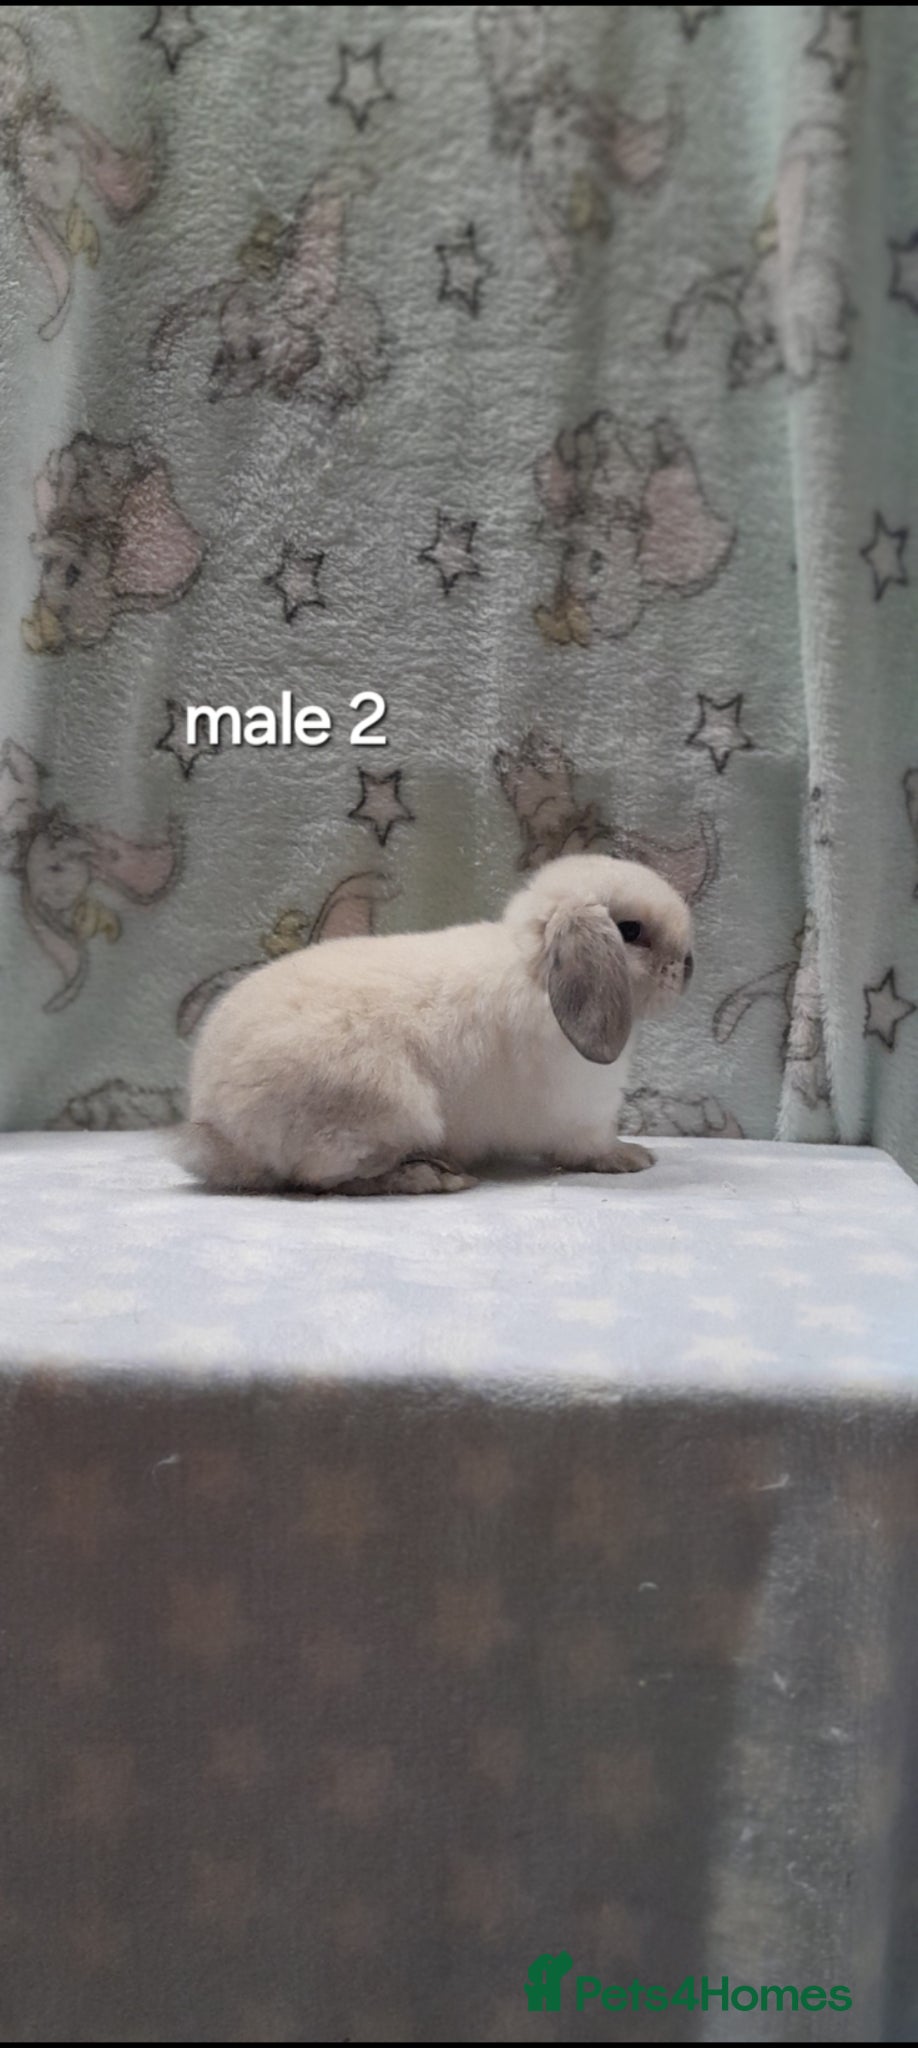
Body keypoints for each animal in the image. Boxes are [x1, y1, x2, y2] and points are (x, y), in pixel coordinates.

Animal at [177, 854, 693, 1196]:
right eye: (630, 931)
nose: (688, 967)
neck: (536, 970)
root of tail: (215, 1127)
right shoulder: (581, 1114)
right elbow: (591, 1146)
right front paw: (633, 1157)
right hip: (390, 1112)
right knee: (322, 1178)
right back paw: (434, 1175)